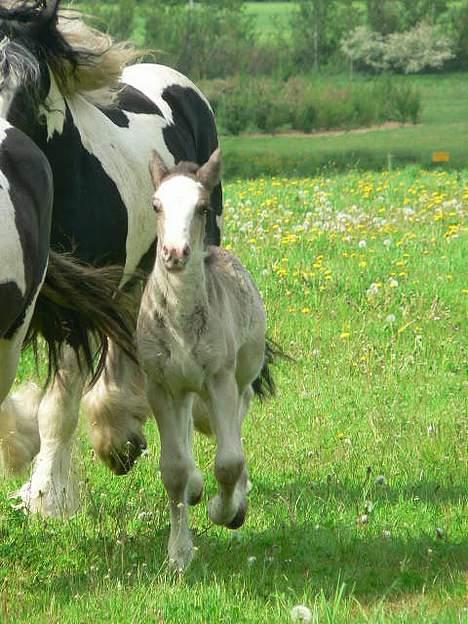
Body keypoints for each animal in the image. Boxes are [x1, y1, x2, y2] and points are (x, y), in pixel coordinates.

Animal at [138, 150, 266, 572]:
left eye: (202, 207)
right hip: (183, 390)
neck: (181, 320)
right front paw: (179, 554)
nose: (175, 254)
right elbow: (174, 469)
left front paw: (225, 511)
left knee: (238, 413)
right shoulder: (160, 385)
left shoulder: (219, 379)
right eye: (156, 205)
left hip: (241, 373)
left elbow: (229, 462)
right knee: (187, 425)